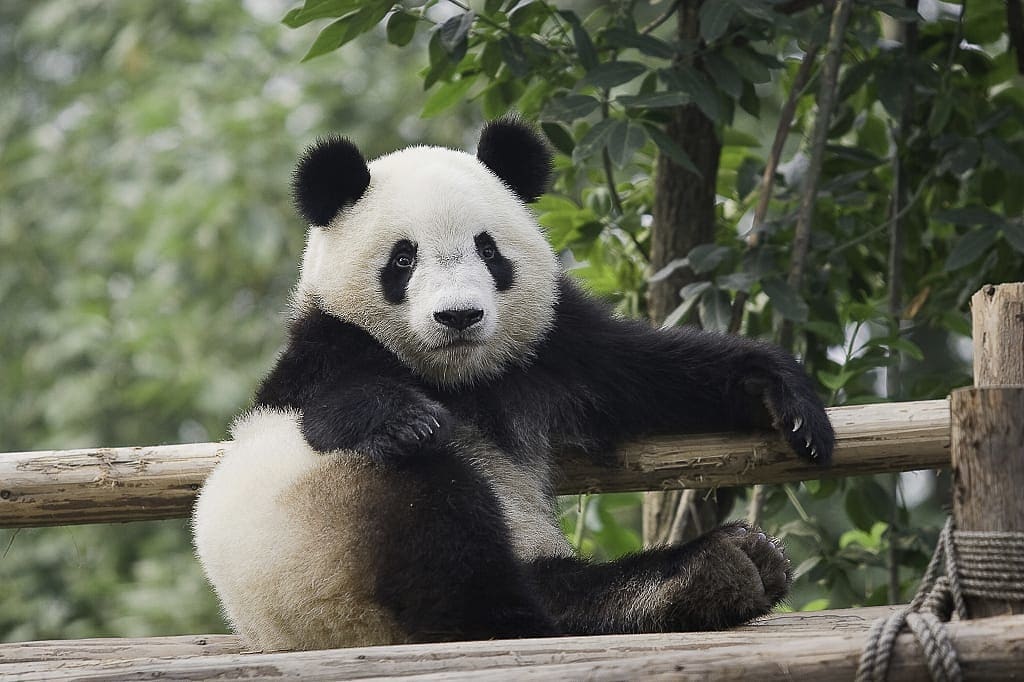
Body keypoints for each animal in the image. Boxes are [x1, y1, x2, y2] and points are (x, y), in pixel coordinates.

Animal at [192, 117, 835, 651]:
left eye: (487, 249)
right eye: (402, 260)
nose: (459, 317)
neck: (457, 378)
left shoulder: (551, 348)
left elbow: (651, 373)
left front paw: (787, 400)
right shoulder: (326, 351)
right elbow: (333, 408)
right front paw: (410, 419)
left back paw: (713, 571)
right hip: (331, 545)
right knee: (447, 539)